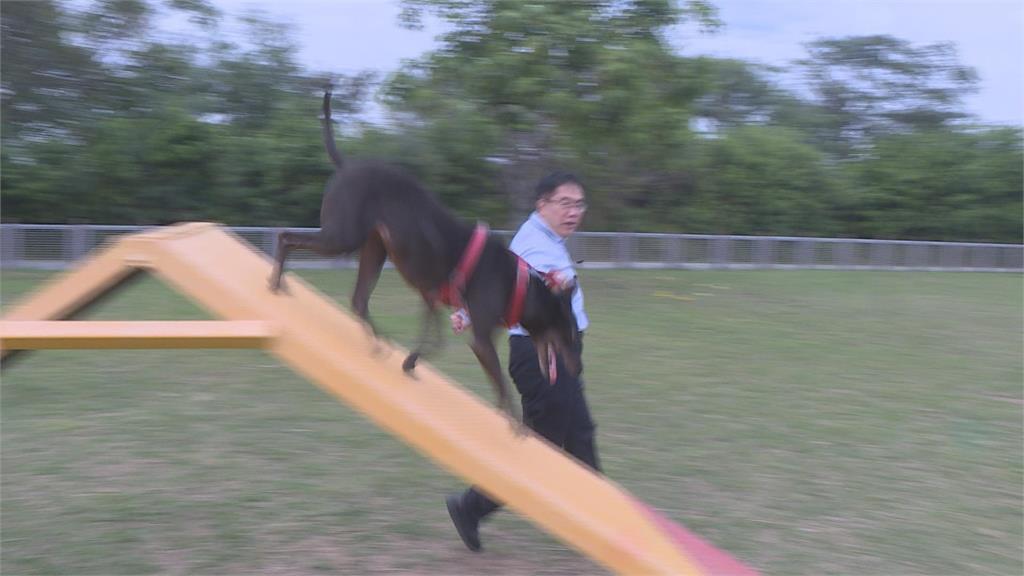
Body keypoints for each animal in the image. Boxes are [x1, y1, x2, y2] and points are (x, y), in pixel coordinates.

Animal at [268, 88, 581, 422]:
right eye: (571, 334)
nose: (577, 370)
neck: (520, 285)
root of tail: (348, 166)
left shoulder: (431, 298)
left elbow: (435, 341)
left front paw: (410, 362)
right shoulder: (481, 339)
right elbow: (498, 380)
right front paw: (513, 421)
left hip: (374, 249)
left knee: (358, 299)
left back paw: (377, 339)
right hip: (342, 236)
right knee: (286, 236)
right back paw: (276, 282)